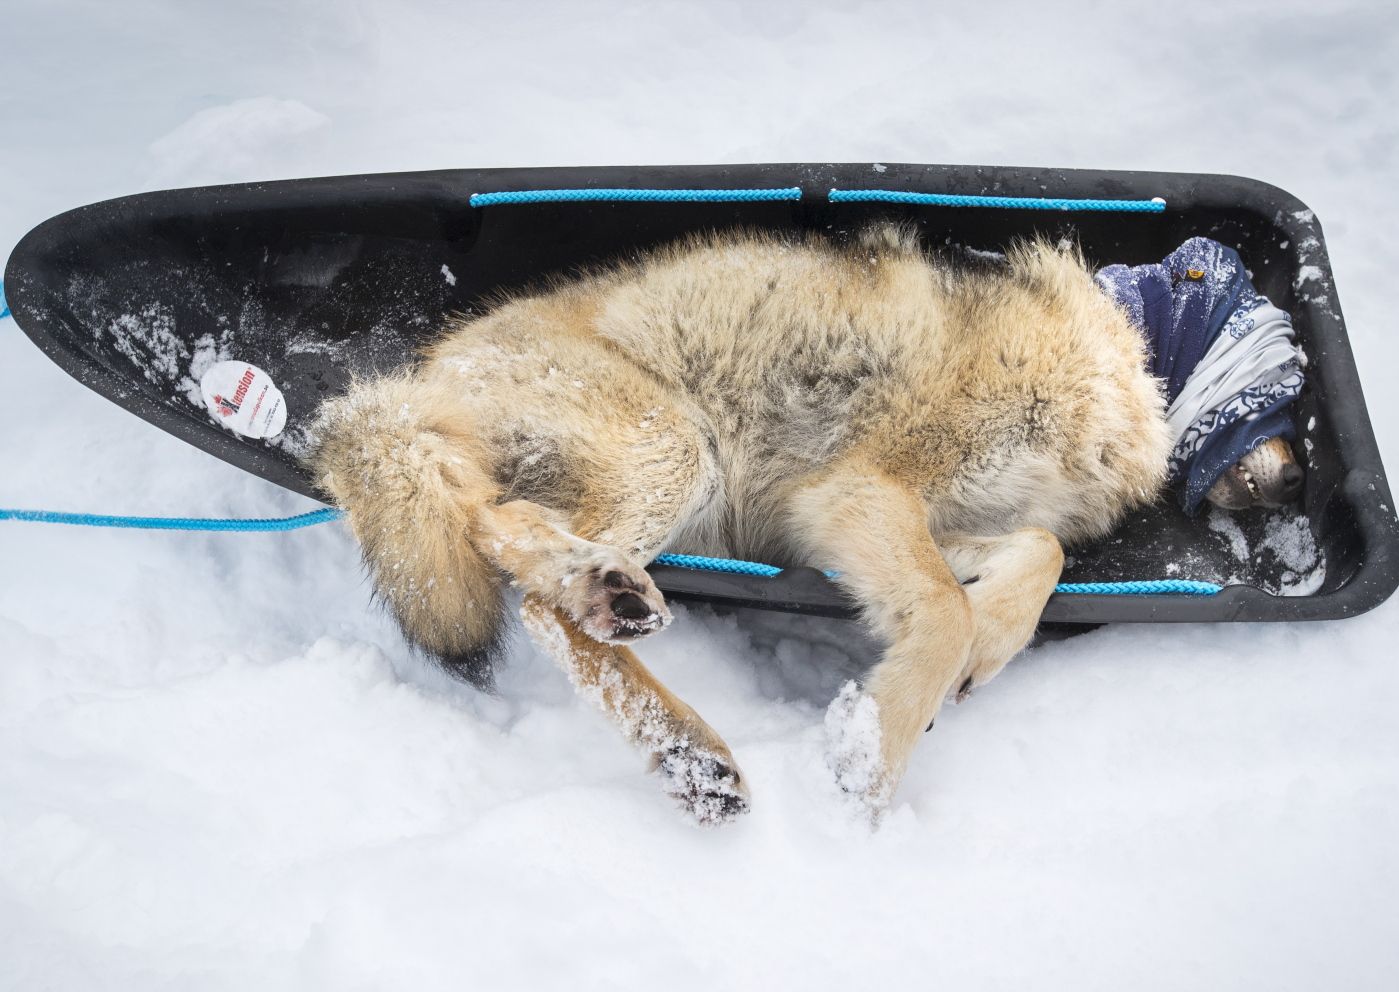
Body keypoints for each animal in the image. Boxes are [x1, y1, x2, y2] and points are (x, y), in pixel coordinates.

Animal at [309, 224, 1303, 823]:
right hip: (675, 449)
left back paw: (685, 751)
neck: (1122, 351)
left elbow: (1034, 555)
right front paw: (868, 772)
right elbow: (943, 615)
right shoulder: (854, 491)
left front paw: (986, 647)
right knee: (522, 567)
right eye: (1289, 390)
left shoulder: (869, 521)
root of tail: (413, 381)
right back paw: (618, 620)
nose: (1297, 493)